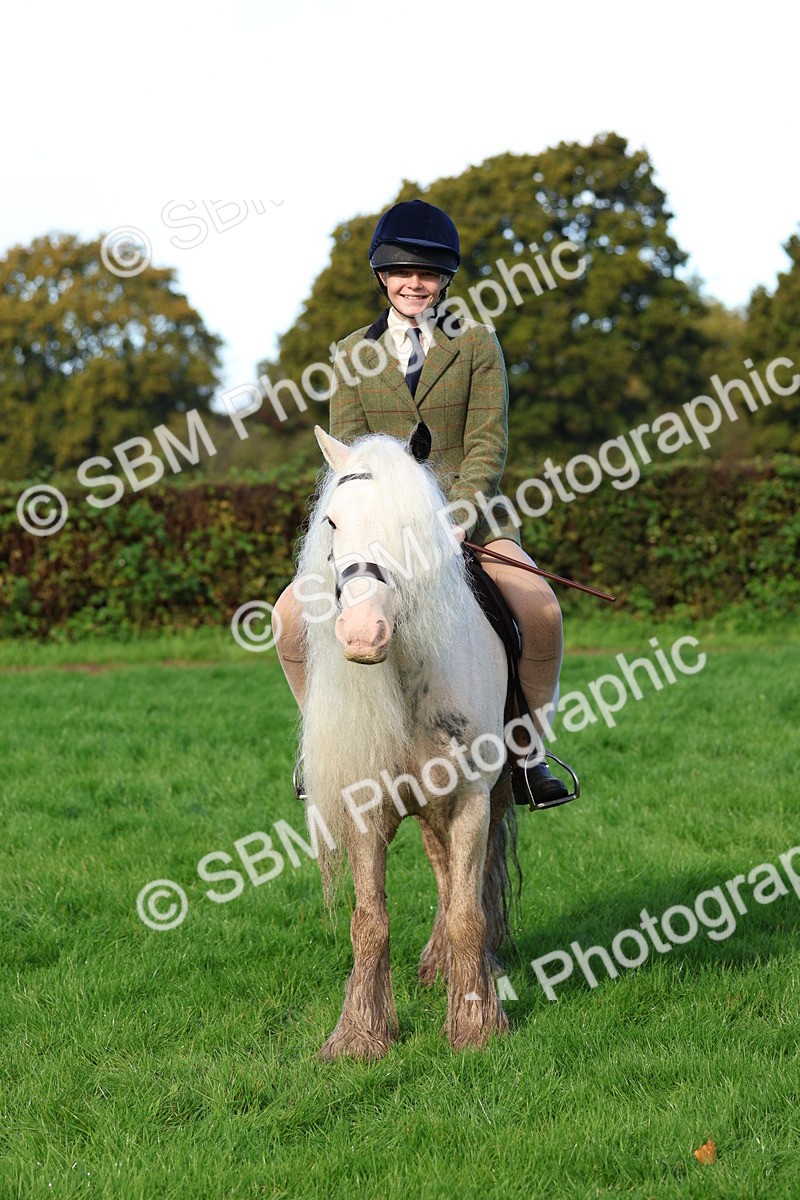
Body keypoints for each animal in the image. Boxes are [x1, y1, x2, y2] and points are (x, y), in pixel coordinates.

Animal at [295, 424, 519, 1060]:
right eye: (333, 521)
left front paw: (475, 1025)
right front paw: (361, 1034)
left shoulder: (471, 798)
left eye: (409, 524)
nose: (361, 633)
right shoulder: (365, 805)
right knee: (441, 864)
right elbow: (369, 920)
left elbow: (469, 911)